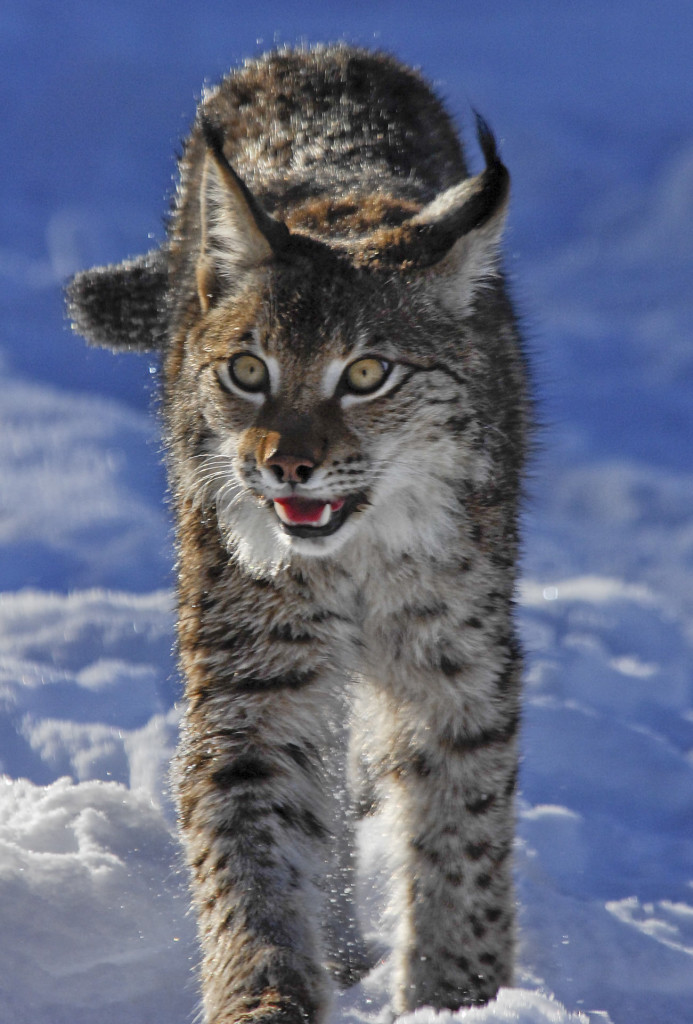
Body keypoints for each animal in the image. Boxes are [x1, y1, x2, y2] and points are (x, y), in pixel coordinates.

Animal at [67, 44, 530, 1024]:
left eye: (365, 374)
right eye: (248, 371)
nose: (286, 470)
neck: (354, 555)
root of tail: (318, 52)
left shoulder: (459, 664)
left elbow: (462, 839)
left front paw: (458, 997)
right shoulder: (255, 680)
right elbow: (252, 865)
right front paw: (270, 995)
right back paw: (342, 946)